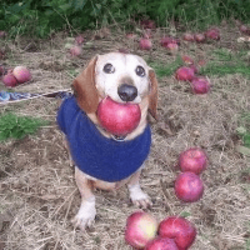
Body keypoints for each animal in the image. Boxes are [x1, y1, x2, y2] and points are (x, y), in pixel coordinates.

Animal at [57, 51, 157, 231]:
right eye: (108, 68)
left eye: (140, 71)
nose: (128, 92)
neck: (117, 140)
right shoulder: (82, 176)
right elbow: (88, 196)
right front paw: (86, 214)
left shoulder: (137, 166)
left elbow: (134, 182)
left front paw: (138, 196)